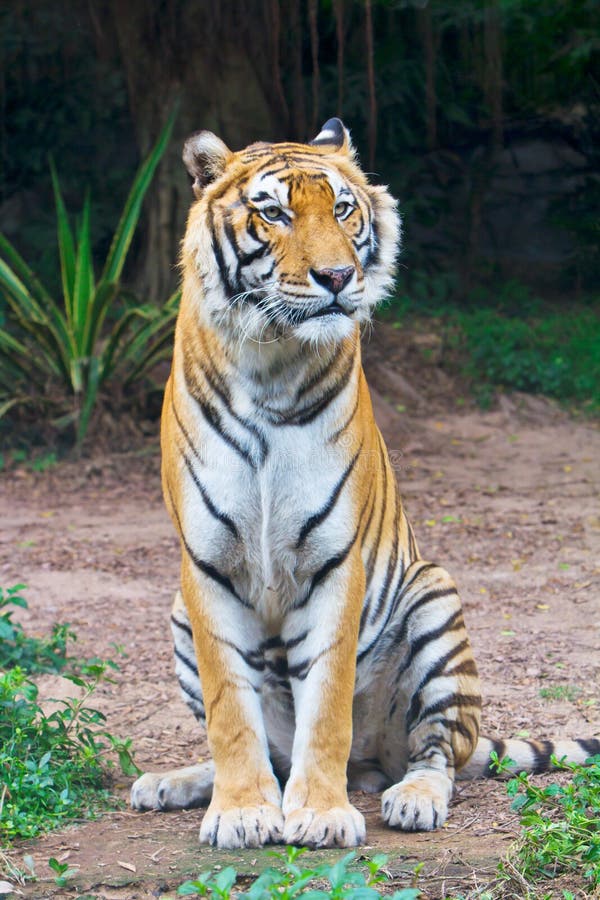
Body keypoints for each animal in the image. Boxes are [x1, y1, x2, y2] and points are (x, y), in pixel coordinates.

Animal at [131, 119, 600, 852]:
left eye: (343, 209)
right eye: (275, 213)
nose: (337, 276)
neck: (269, 363)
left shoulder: (333, 560)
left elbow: (325, 702)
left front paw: (321, 814)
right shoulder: (205, 566)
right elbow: (229, 711)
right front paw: (243, 811)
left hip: (434, 600)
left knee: (437, 754)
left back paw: (410, 798)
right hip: (178, 615)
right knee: (268, 750)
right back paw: (171, 783)